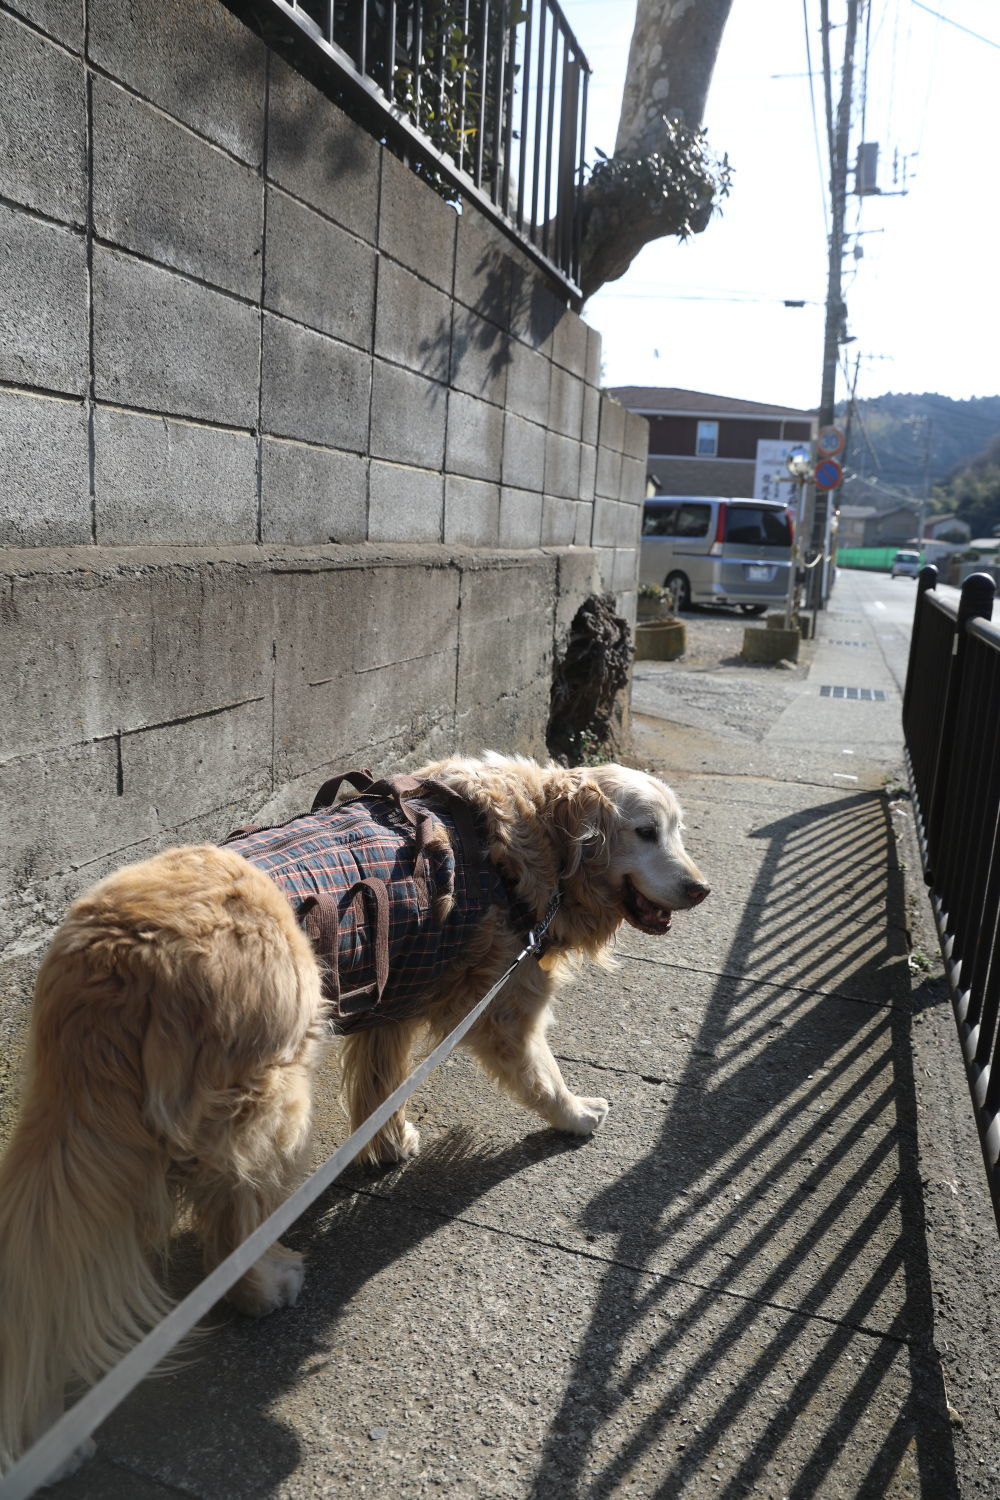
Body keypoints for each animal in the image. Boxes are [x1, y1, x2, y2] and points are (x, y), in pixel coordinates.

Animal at [0, 756, 707, 1470]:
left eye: (678, 829)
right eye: (646, 831)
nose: (701, 889)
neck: (530, 836)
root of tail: (117, 950)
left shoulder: (397, 987)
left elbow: (377, 1082)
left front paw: (389, 1144)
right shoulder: (504, 999)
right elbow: (540, 1072)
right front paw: (577, 1113)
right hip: (274, 1105)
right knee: (228, 1221)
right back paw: (266, 1285)